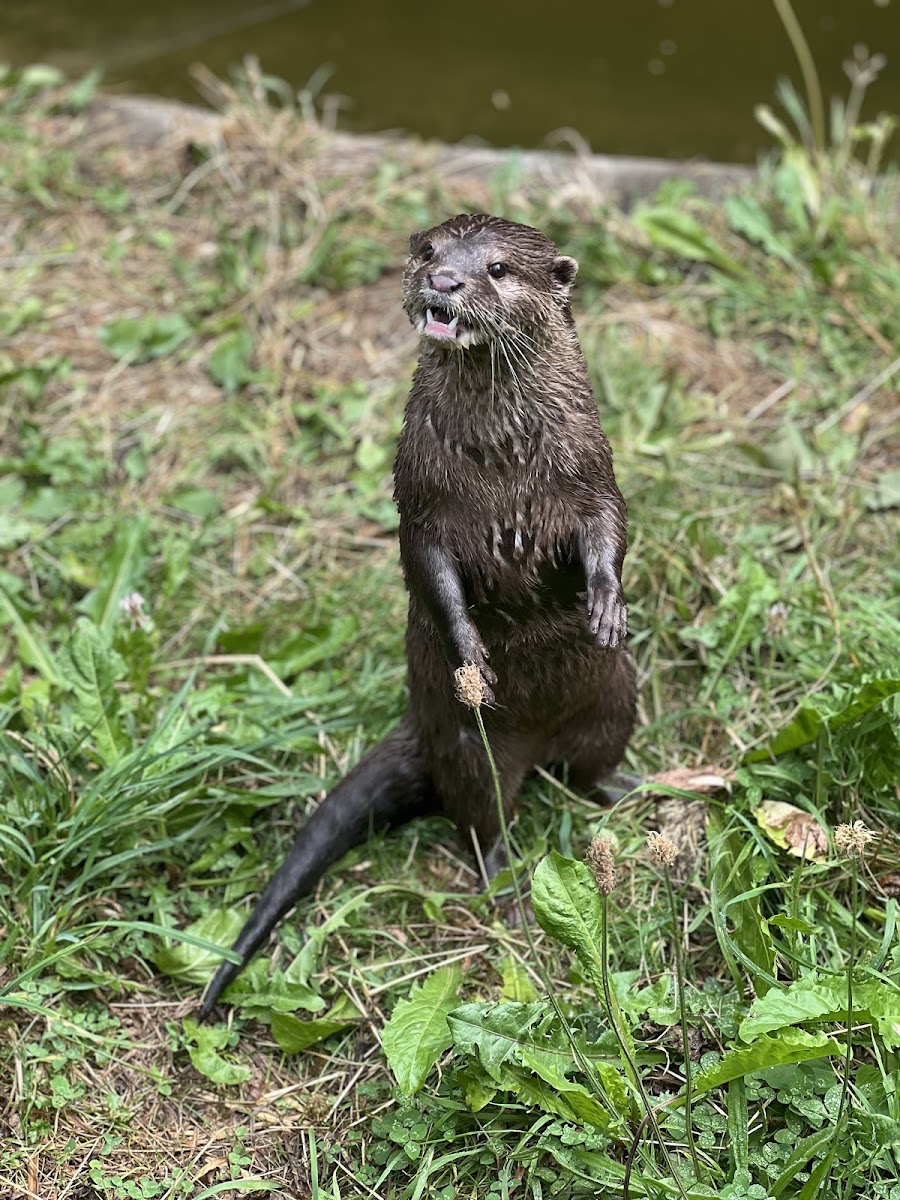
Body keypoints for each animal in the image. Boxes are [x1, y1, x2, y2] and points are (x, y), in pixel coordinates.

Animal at [198, 214, 636, 1020]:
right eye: (430, 251)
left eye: (498, 268)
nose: (444, 281)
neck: (505, 460)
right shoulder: (422, 497)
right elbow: (432, 572)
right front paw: (473, 655)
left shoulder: (589, 466)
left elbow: (607, 527)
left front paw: (605, 603)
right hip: (466, 749)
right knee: (482, 817)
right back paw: (507, 889)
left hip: (617, 697)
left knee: (591, 769)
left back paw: (643, 786)